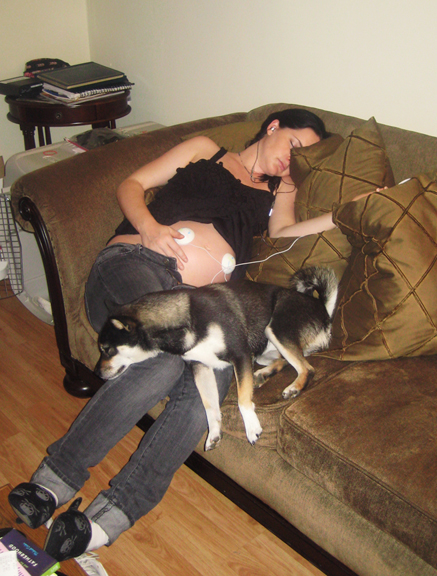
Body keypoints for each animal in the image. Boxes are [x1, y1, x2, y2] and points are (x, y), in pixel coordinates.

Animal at [95, 266, 338, 450]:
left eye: (106, 349)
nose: (97, 372)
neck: (185, 319)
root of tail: (324, 312)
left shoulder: (240, 354)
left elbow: (242, 399)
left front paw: (251, 427)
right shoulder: (201, 366)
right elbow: (210, 406)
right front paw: (213, 433)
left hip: (275, 330)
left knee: (307, 368)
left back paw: (294, 387)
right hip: (263, 350)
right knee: (285, 361)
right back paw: (263, 375)